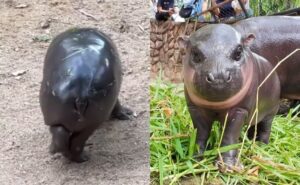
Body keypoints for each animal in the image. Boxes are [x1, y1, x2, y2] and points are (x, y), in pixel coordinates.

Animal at [39, 27, 132, 162]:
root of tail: (81, 94)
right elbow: (117, 103)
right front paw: (127, 114)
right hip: (89, 121)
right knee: (71, 139)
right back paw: (78, 157)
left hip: (69, 118)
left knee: (64, 135)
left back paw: (71, 156)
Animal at [179, 15, 298, 171]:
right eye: (195, 54)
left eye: (238, 52)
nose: (218, 77)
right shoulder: (195, 109)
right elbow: (200, 133)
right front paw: (195, 158)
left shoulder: (240, 110)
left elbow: (230, 137)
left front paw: (228, 167)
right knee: (254, 126)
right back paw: (251, 142)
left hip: (270, 112)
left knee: (265, 129)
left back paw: (261, 147)